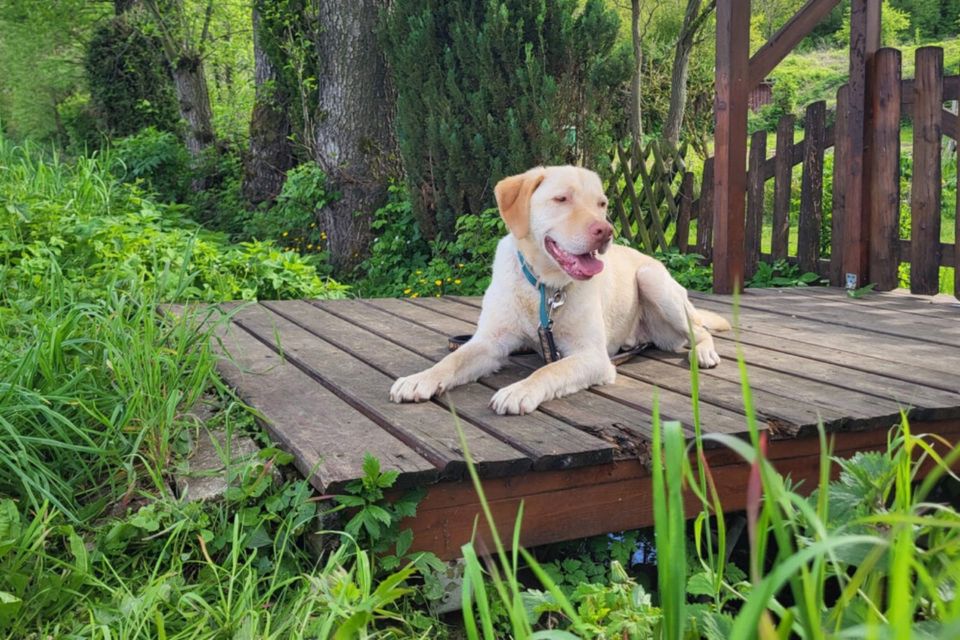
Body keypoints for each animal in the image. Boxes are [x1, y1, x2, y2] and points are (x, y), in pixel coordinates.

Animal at [390, 165, 728, 416]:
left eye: (601, 204)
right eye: (562, 199)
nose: (605, 231)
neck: (544, 288)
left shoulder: (593, 356)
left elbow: (550, 370)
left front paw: (519, 390)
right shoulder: (490, 342)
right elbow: (453, 360)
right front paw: (419, 380)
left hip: (652, 280)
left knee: (699, 330)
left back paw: (704, 352)